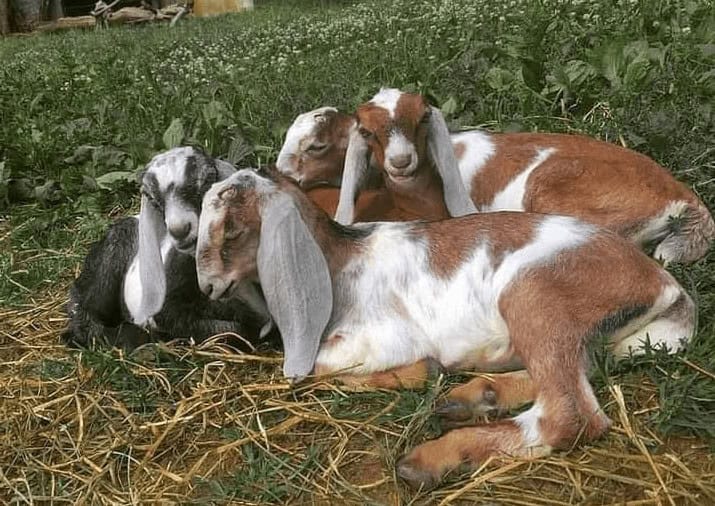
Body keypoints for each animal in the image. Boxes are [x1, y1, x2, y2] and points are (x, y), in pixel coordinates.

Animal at [195, 167, 695, 489]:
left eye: (233, 228)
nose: (208, 286)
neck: (340, 262)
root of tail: (663, 284)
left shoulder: (385, 335)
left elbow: (320, 364)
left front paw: (423, 371)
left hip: (532, 292)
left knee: (571, 414)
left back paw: (435, 457)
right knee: (580, 369)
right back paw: (475, 397)